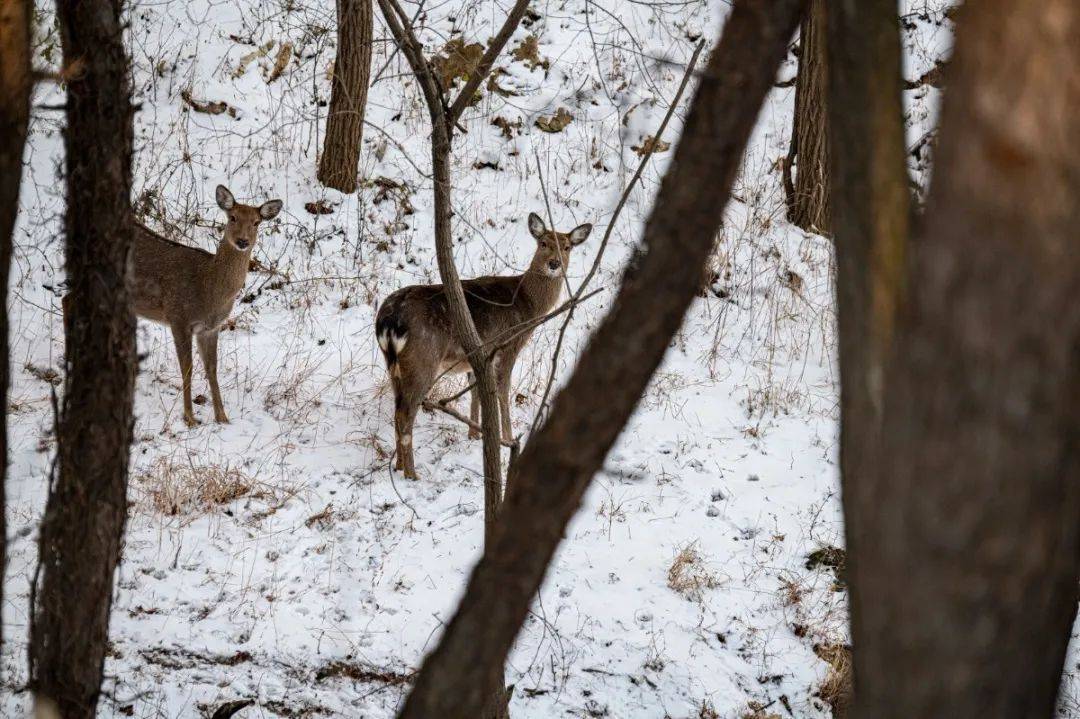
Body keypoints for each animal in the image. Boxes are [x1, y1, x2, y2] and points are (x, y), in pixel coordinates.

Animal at [129, 184, 282, 425]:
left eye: (256, 222)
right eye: (232, 217)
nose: (243, 241)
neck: (207, 289)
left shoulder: (210, 328)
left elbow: (211, 369)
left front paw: (222, 418)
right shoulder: (178, 317)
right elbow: (188, 368)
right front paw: (190, 418)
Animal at [375, 210, 596, 475]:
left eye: (567, 247)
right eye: (543, 243)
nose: (554, 264)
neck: (528, 304)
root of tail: (389, 320)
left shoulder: (479, 354)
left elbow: (476, 391)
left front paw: (474, 435)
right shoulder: (508, 344)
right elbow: (502, 390)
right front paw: (508, 439)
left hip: (393, 363)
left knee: (397, 408)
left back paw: (398, 466)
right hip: (424, 357)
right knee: (405, 413)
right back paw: (412, 474)